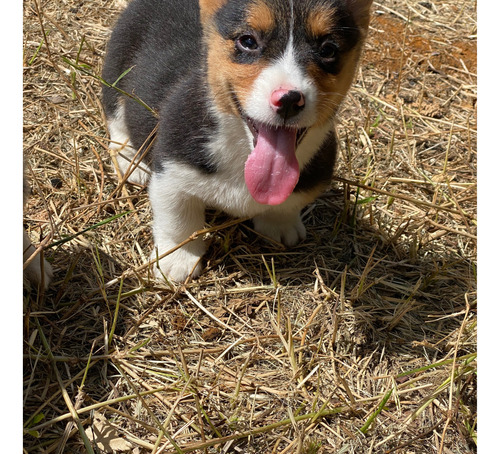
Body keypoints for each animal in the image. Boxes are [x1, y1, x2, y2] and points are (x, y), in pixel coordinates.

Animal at [101, 0, 374, 282]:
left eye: (328, 49)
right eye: (248, 41)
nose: (289, 99)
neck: (241, 150)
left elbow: (287, 205)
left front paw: (280, 226)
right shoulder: (171, 170)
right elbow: (178, 219)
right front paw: (178, 261)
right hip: (117, 71)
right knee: (116, 119)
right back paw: (130, 161)